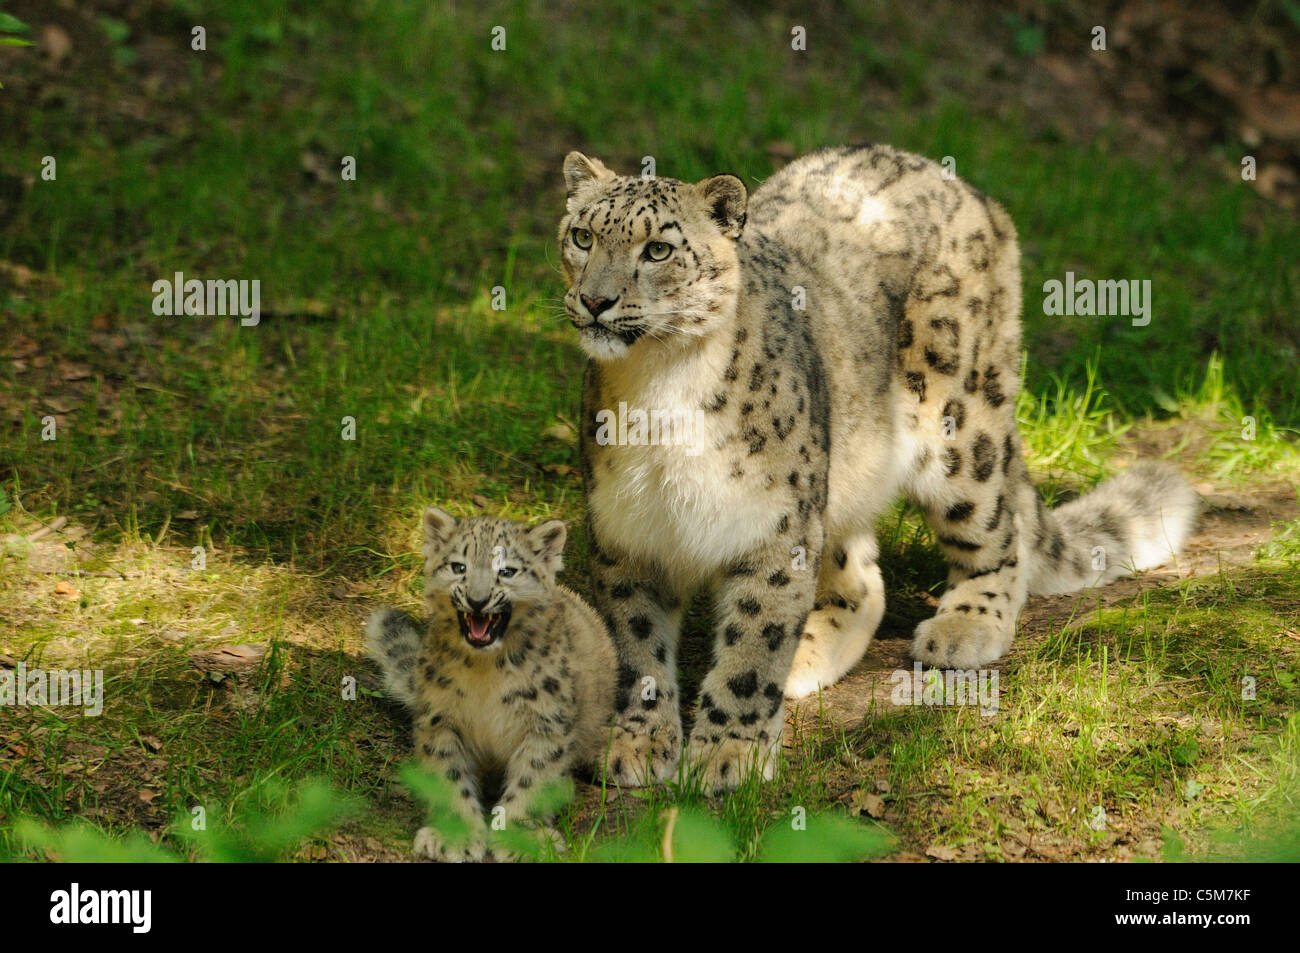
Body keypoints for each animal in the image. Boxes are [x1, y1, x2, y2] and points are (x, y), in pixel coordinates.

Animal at [553, 146, 1190, 790]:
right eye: (582, 237)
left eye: (658, 249)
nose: (596, 300)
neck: (659, 386)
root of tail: (967, 190)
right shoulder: (625, 534)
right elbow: (637, 645)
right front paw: (637, 743)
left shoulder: (775, 528)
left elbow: (754, 644)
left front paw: (727, 754)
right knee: (862, 580)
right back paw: (807, 658)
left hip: (959, 433)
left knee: (1000, 534)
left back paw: (964, 628)